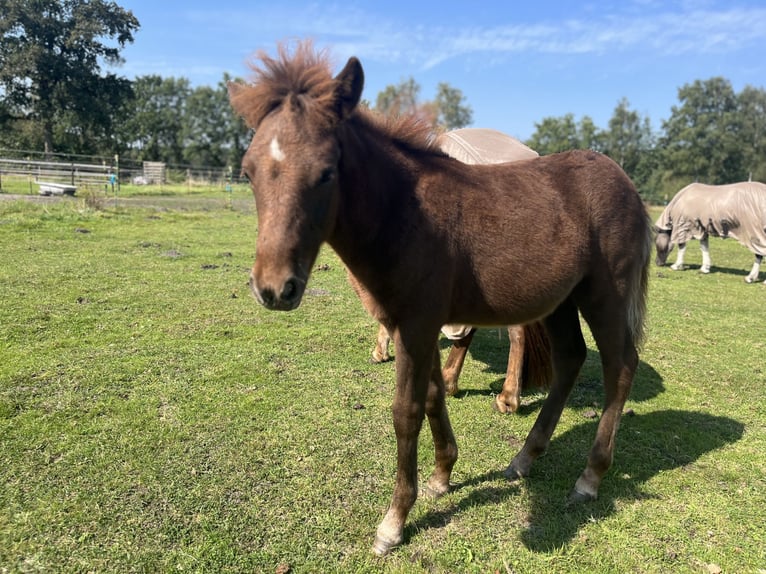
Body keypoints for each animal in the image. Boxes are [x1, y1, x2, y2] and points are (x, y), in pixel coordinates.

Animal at [228, 44, 656, 560]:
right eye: (248, 172)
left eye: (327, 172)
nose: (274, 289)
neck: (404, 216)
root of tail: (628, 184)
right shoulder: (416, 325)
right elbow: (433, 395)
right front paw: (442, 475)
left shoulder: (415, 325)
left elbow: (406, 411)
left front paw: (393, 522)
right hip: (560, 301)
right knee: (570, 359)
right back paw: (523, 459)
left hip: (605, 295)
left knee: (620, 366)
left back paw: (589, 478)